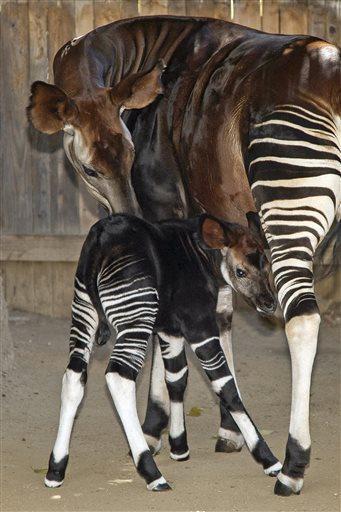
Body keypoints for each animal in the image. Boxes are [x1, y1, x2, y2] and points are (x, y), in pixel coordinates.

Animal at [45, 213, 278, 492]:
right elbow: (226, 386)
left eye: (267, 266)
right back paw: (151, 472)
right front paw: (269, 459)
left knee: (74, 376)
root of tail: (100, 240)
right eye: (241, 271)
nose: (269, 304)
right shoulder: (199, 325)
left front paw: (179, 447)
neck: (201, 253)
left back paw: (56, 469)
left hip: (84, 311)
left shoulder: (170, 330)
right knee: (118, 378)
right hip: (135, 316)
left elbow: (176, 378)